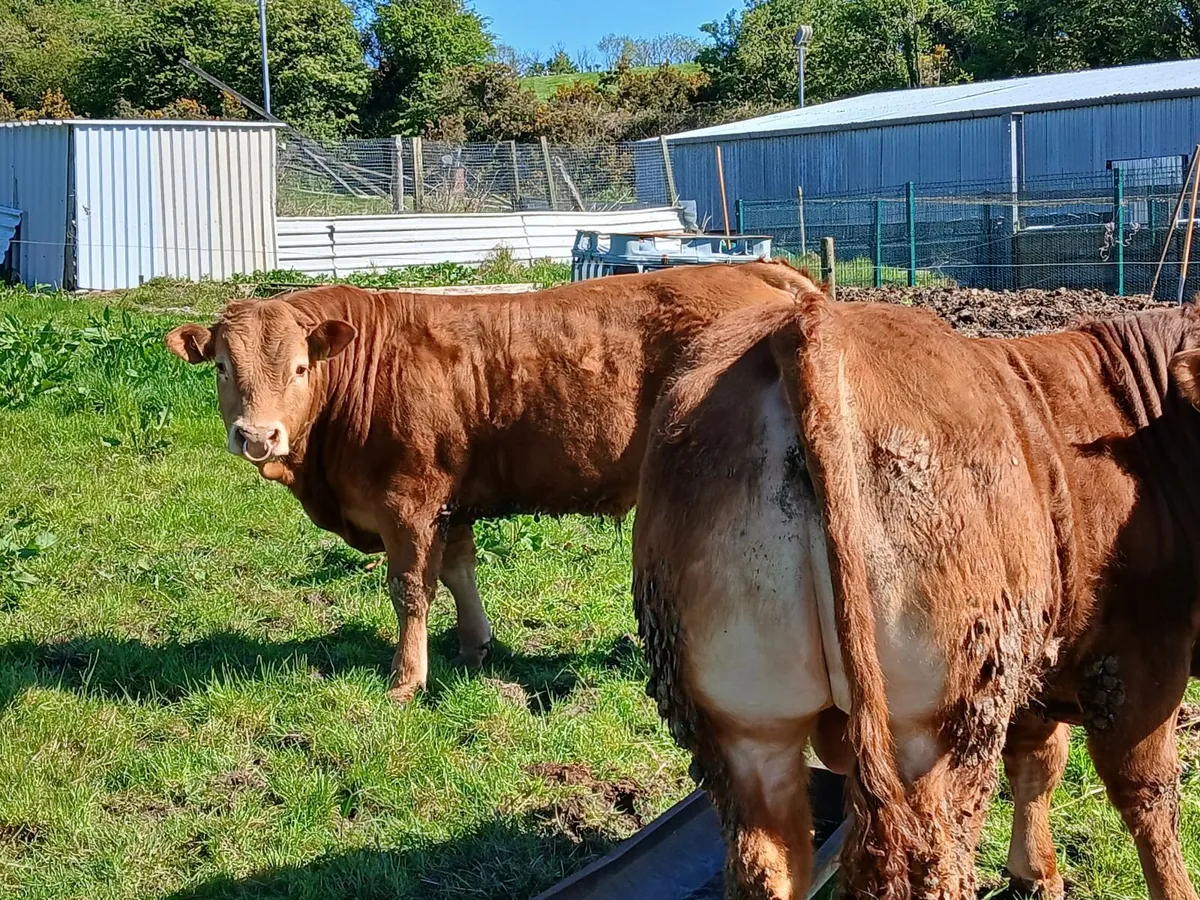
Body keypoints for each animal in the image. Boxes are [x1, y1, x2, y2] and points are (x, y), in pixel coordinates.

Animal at [164, 262, 818, 703]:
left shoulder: (408, 503)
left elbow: (410, 590)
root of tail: (753, 267)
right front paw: (474, 646)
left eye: (300, 368)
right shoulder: (450, 502)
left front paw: (406, 680)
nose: (258, 436)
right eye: (223, 367)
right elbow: (459, 571)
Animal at [633, 290, 1200, 900]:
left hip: (744, 724)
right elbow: (1149, 795)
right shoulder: (1141, 659)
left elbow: (1039, 759)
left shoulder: (1040, 662)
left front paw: (1035, 873)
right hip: (940, 725)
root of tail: (811, 320)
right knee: (937, 860)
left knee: (767, 860)